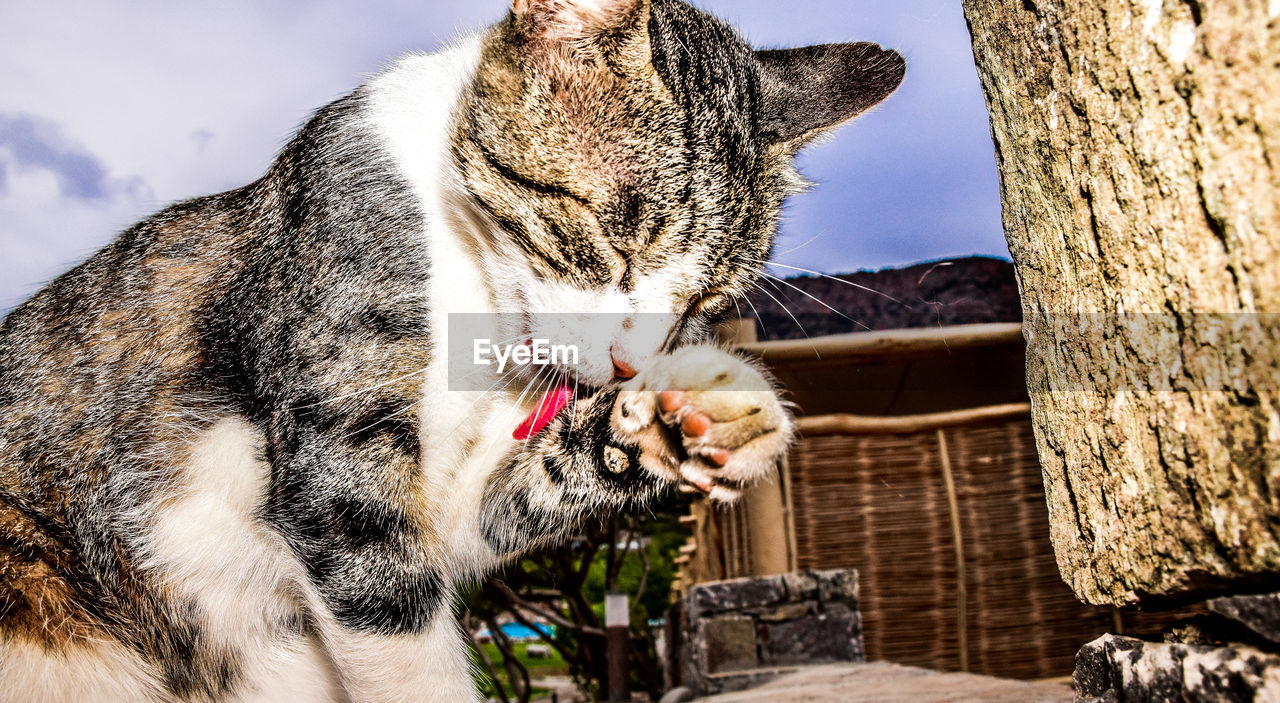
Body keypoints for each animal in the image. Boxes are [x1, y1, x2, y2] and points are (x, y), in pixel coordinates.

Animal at [0, 1, 901, 701]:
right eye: (617, 243)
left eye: (706, 301)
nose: (626, 364)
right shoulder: (339, 450)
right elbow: (393, 621)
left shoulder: (455, 505)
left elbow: (500, 503)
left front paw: (692, 415)